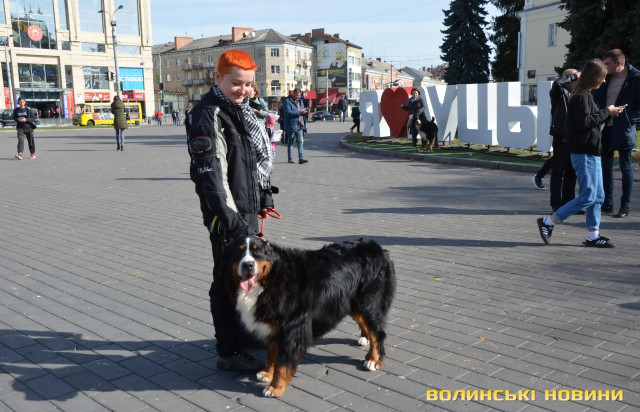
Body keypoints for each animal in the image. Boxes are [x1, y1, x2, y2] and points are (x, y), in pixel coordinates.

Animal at [222, 236, 396, 397]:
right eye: (238, 252)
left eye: (257, 252)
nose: (248, 265)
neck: (271, 280)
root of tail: (377, 247)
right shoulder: (272, 326)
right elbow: (272, 354)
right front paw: (268, 373)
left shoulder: (292, 329)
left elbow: (282, 363)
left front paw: (275, 387)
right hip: (351, 302)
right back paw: (364, 338)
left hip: (368, 302)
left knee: (378, 333)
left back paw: (373, 359)